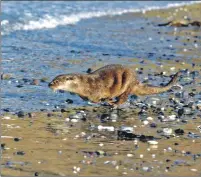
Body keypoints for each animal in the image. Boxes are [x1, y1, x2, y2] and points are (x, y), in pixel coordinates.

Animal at [48, 65, 181, 106]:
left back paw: (114, 103)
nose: (49, 84)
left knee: (124, 97)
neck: (84, 84)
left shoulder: (96, 91)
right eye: (52, 79)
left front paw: (105, 100)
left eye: (56, 81)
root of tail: (136, 80)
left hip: (128, 82)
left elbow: (96, 100)